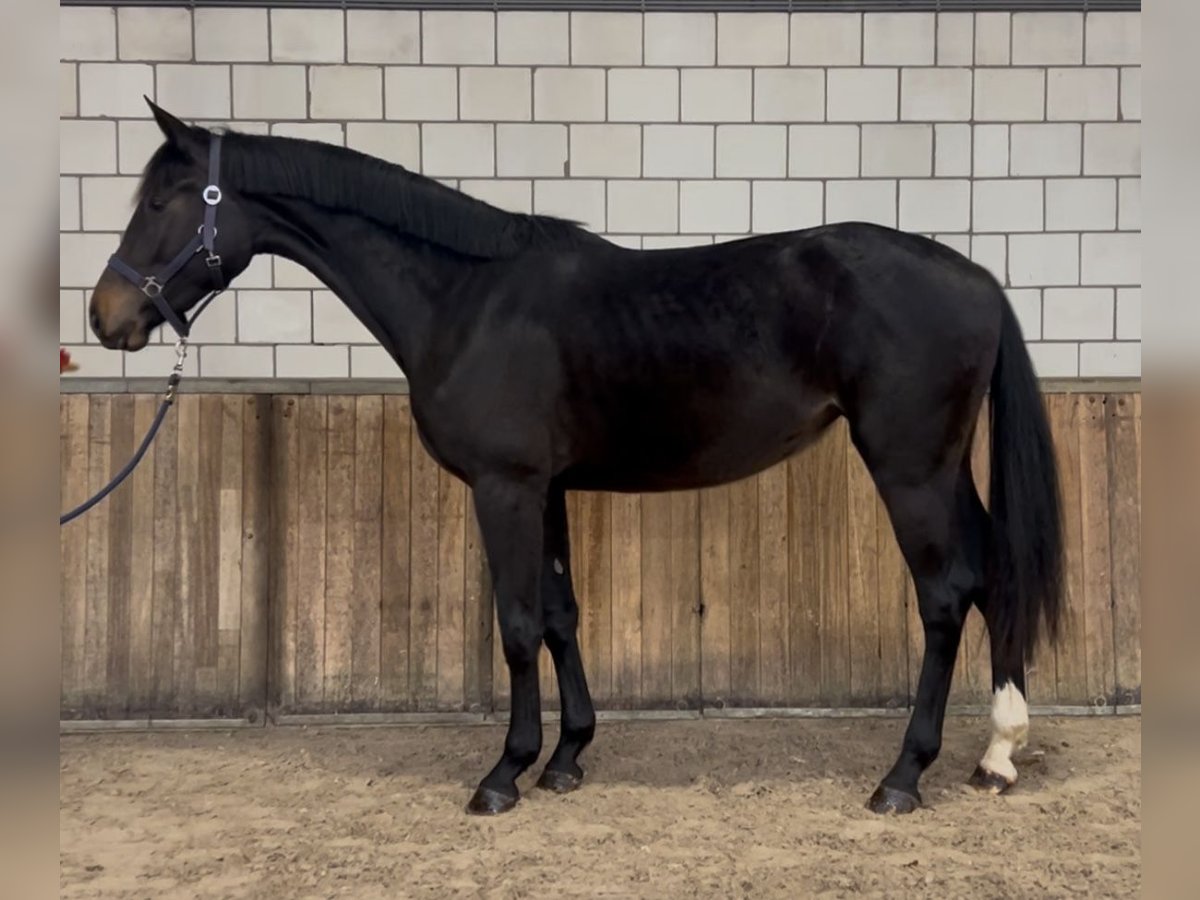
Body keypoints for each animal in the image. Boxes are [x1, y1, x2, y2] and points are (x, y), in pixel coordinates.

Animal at [88, 102, 1060, 820]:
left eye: (164, 202)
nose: (106, 317)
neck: (466, 298)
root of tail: (978, 278)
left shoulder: (504, 488)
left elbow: (518, 625)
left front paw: (503, 775)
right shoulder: (545, 489)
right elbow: (560, 615)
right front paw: (566, 758)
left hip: (908, 470)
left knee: (945, 595)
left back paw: (903, 778)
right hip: (941, 469)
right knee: (991, 573)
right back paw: (997, 754)